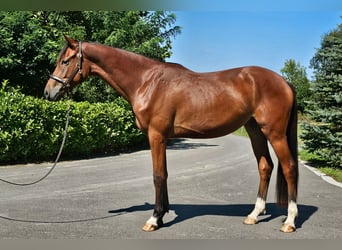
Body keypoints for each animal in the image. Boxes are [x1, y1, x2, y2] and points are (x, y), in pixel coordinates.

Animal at [44, 35, 298, 232]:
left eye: (65, 61)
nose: (48, 92)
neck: (147, 81)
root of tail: (283, 81)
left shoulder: (156, 135)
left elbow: (158, 176)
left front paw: (154, 219)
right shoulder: (162, 138)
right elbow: (164, 174)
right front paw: (163, 214)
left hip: (274, 133)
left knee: (289, 168)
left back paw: (290, 221)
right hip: (255, 130)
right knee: (265, 166)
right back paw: (254, 215)